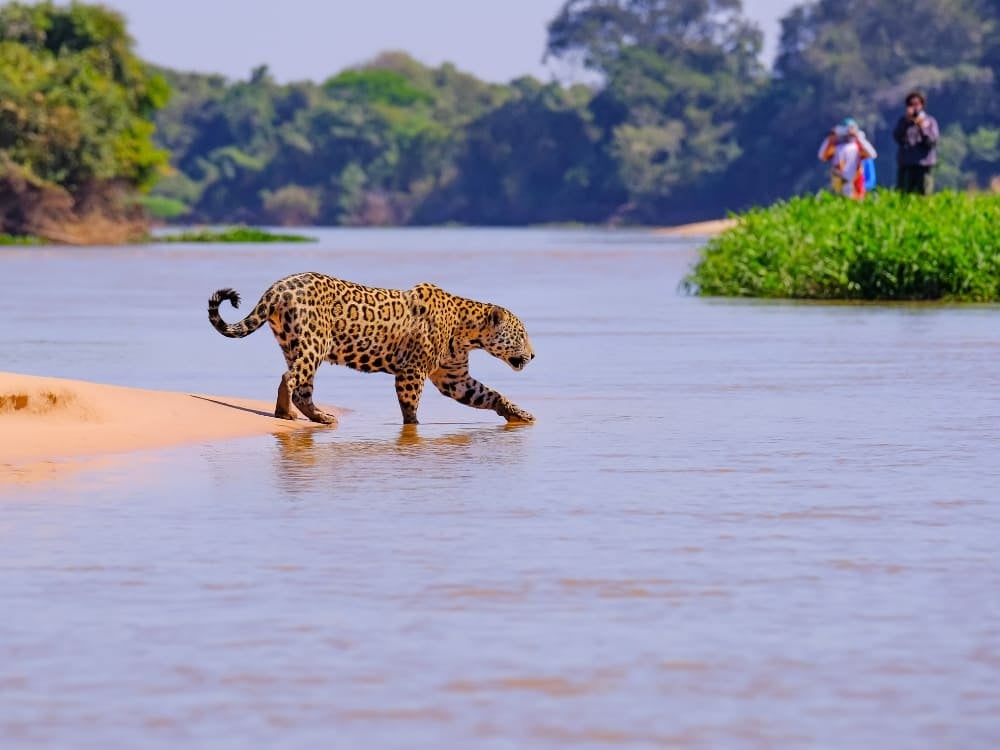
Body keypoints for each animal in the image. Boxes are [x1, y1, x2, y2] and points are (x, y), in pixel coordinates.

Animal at [207, 271, 536, 426]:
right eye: (522, 334)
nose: (534, 355)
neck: (466, 330)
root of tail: (277, 287)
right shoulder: (412, 371)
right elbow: (410, 408)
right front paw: (414, 428)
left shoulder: (454, 378)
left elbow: (491, 395)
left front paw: (520, 414)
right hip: (315, 342)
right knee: (290, 378)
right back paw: (284, 414)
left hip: (295, 344)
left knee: (302, 386)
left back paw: (320, 417)